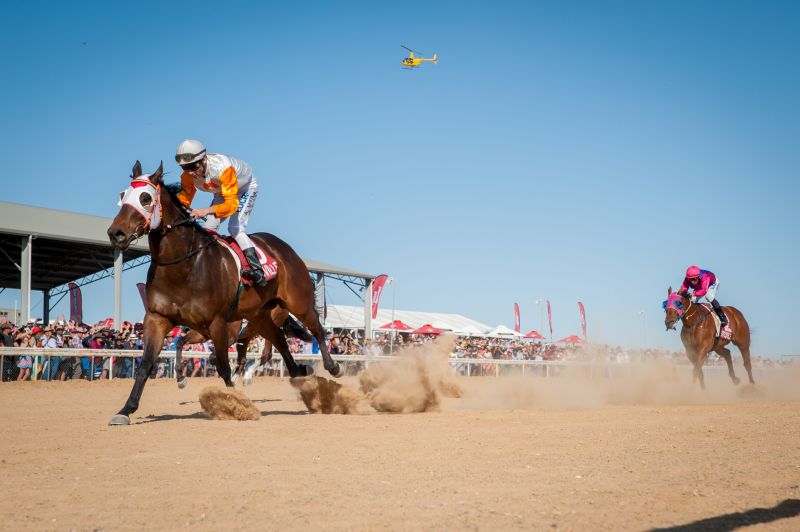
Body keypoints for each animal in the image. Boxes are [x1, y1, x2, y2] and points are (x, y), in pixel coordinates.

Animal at [105, 161, 340, 424]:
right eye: (123, 195)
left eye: (145, 198)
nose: (116, 233)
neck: (183, 266)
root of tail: (285, 249)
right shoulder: (158, 318)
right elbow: (147, 363)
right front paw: (126, 410)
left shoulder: (217, 323)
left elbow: (223, 366)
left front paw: (236, 404)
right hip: (260, 316)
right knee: (278, 343)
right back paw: (299, 372)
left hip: (298, 302)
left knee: (316, 329)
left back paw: (332, 367)